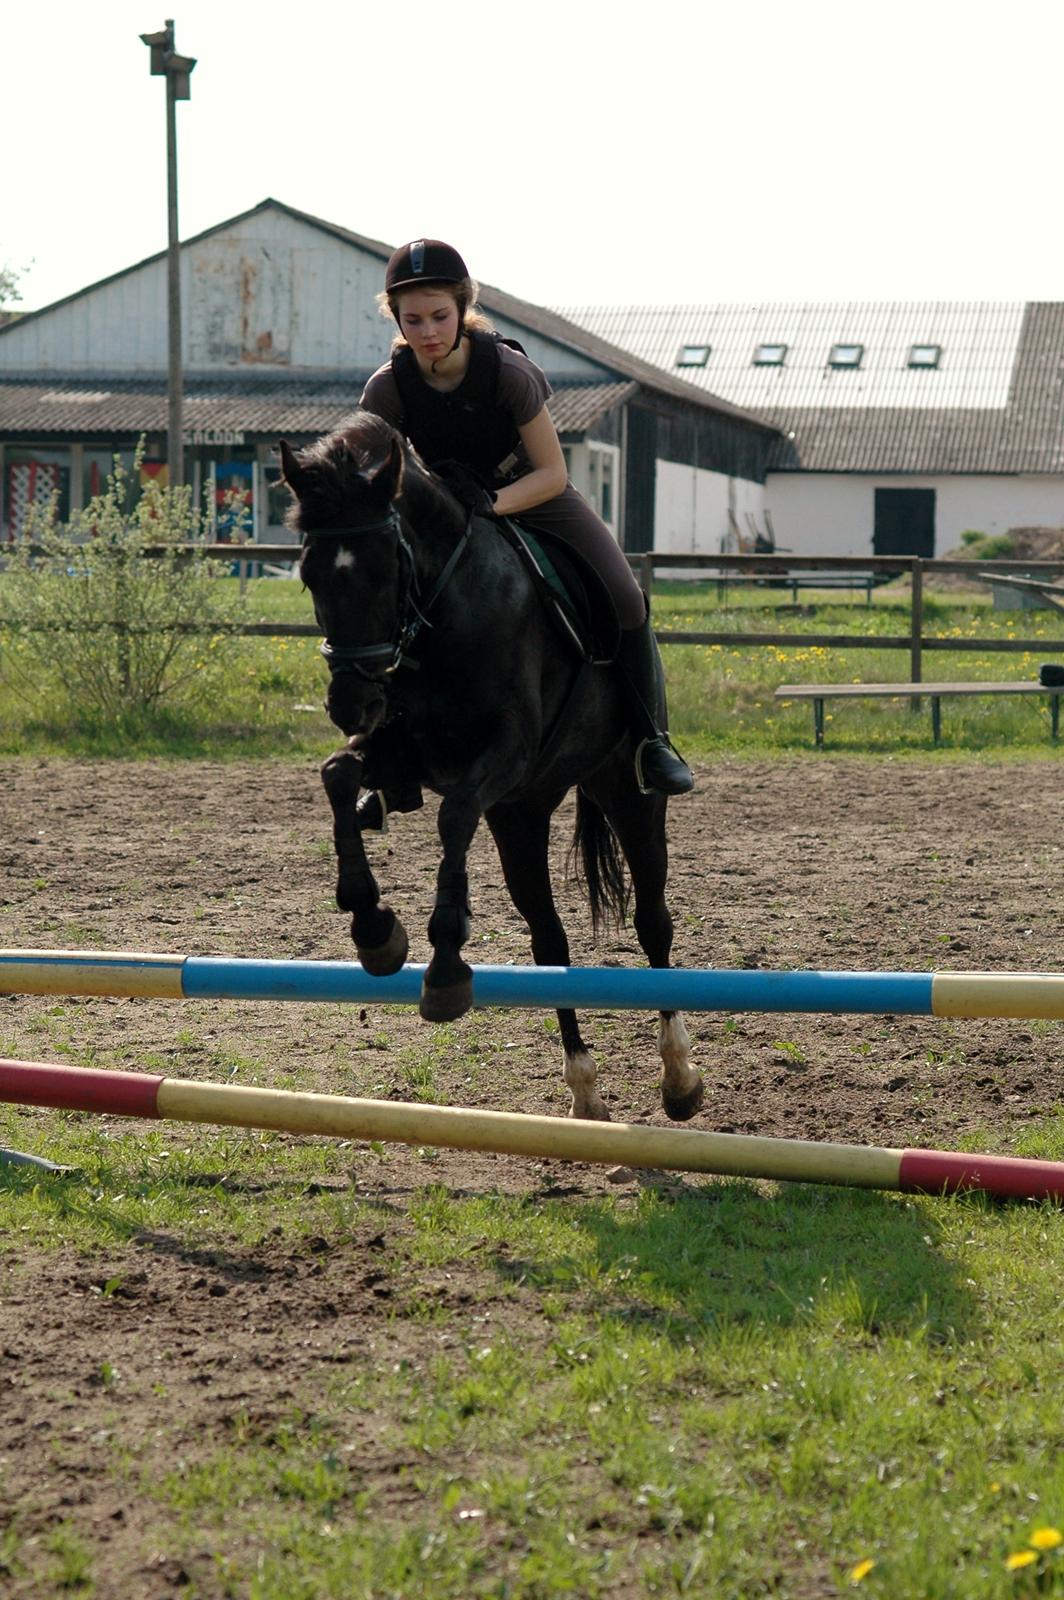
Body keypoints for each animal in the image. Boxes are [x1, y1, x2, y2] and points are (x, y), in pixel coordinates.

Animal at [278, 412, 700, 1126]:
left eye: (386, 569)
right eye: (309, 574)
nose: (348, 702)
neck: (441, 611)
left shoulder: (503, 754)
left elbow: (452, 817)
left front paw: (445, 965)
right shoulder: (402, 751)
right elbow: (338, 777)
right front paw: (373, 927)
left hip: (625, 790)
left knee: (652, 922)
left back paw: (678, 1078)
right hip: (521, 813)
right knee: (551, 944)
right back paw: (585, 1091)